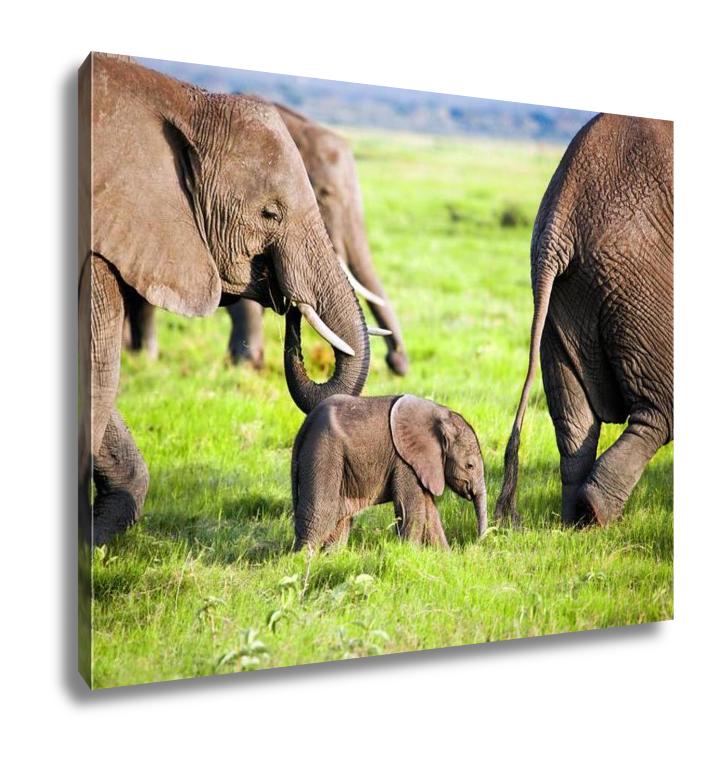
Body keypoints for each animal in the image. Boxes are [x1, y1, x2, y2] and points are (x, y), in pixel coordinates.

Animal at [292, 396, 490, 552]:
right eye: (470, 466)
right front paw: (410, 555)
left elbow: (430, 512)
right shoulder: (404, 461)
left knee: (340, 522)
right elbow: (413, 510)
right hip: (323, 452)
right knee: (319, 516)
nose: (477, 543)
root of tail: (304, 427)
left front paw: (445, 559)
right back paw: (302, 561)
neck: (440, 414)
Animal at [494, 114, 676, 528]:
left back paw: (575, 522)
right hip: (639, 278)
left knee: (573, 420)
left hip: (562, 299)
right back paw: (596, 514)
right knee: (660, 410)